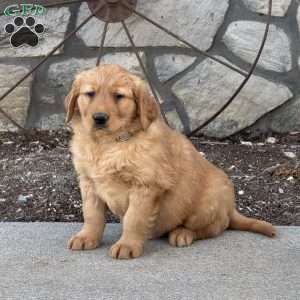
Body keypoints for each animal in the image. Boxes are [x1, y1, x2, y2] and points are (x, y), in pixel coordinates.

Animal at [66, 64, 276, 258]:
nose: (99, 118)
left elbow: (134, 219)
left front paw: (127, 245)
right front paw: (86, 237)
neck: (108, 144)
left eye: (119, 96)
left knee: (215, 226)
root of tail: (230, 207)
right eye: (90, 93)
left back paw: (182, 233)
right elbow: (92, 215)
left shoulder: (146, 185)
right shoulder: (88, 182)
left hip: (205, 207)